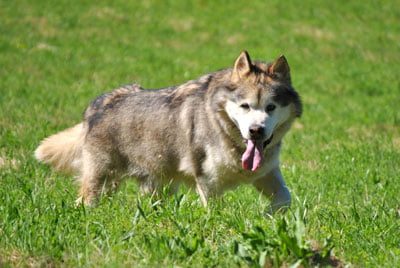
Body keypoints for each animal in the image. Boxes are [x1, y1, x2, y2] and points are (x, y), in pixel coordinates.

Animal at [36, 51, 302, 213]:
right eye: (245, 106)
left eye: (270, 107)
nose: (256, 131)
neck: (230, 137)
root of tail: (99, 103)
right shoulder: (207, 181)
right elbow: (214, 212)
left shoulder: (266, 173)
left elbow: (285, 199)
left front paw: (267, 215)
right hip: (102, 181)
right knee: (85, 202)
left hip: (160, 185)